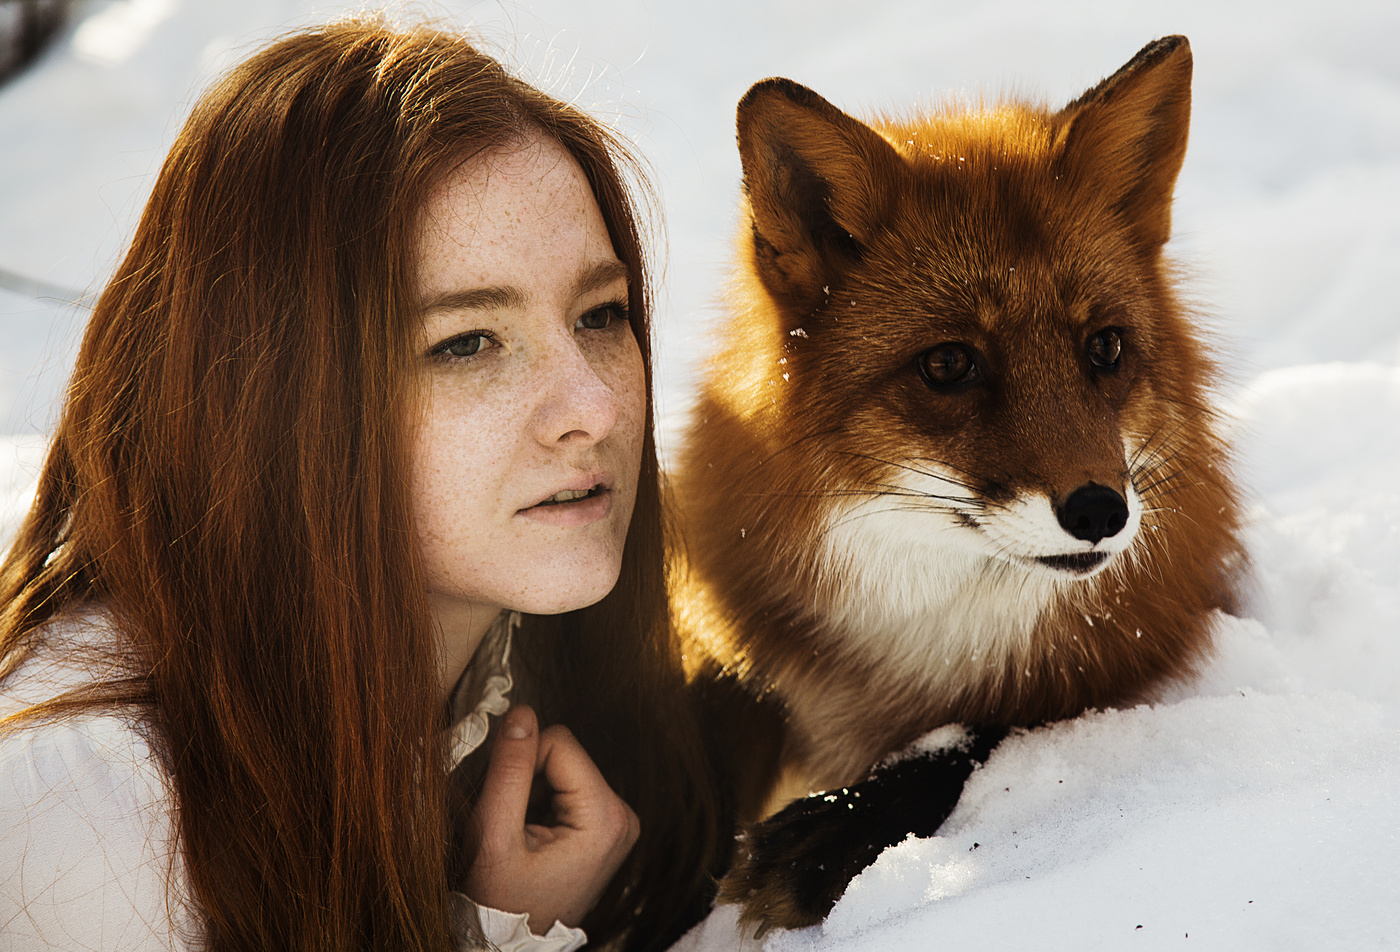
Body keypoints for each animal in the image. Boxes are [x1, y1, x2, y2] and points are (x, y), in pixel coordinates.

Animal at [672, 36, 1243, 932]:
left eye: (1105, 348)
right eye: (949, 364)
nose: (1100, 511)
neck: (915, 637)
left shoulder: (1136, 660)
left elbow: (974, 739)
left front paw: (830, 831)